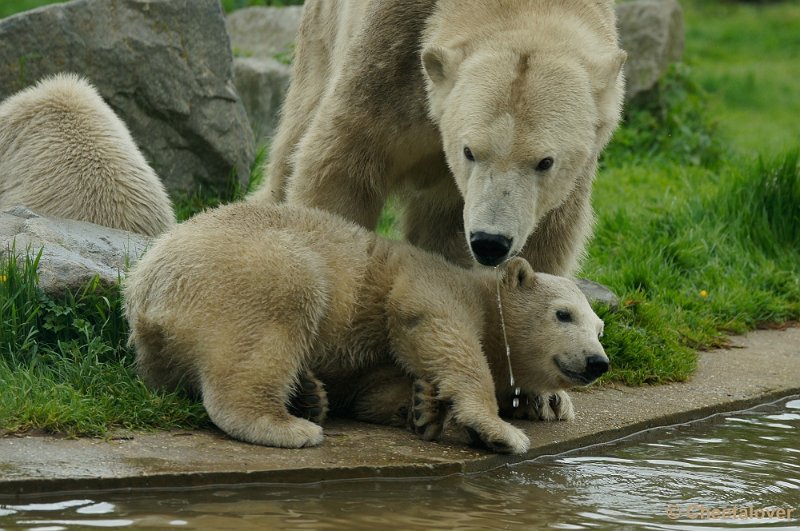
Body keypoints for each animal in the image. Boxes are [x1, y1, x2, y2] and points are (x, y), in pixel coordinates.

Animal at [253, 0, 628, 272]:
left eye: (545, 162)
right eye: (469, 151)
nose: (489, 242)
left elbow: (547, 239)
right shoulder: (392, 55)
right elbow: (340, 167)